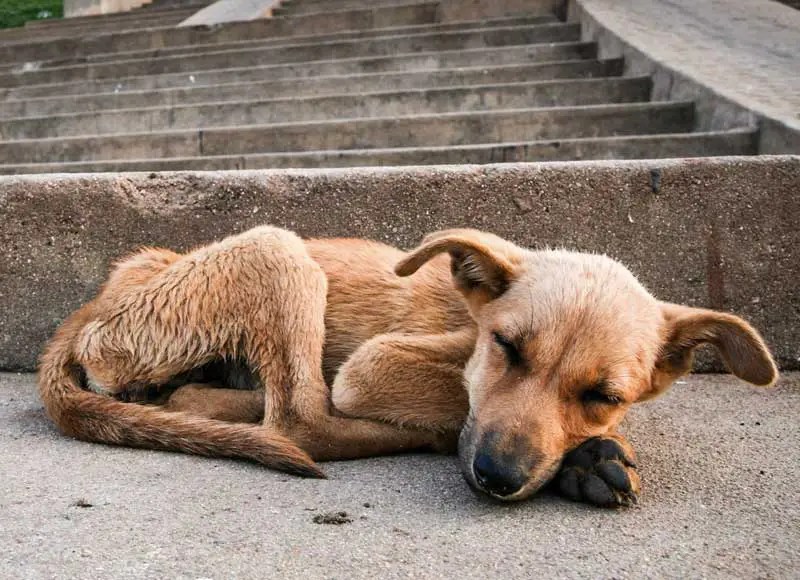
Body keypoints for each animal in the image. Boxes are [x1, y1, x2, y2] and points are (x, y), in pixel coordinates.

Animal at [37, 227, 776, 508]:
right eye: (507, 348)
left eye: (603, 393)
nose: (498, 477)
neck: (469, 318)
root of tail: (99, 300)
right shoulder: (373, 364)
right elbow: (457, 402)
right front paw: (584, 457)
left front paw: (589, 450)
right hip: (277, 249)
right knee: (302, 420)